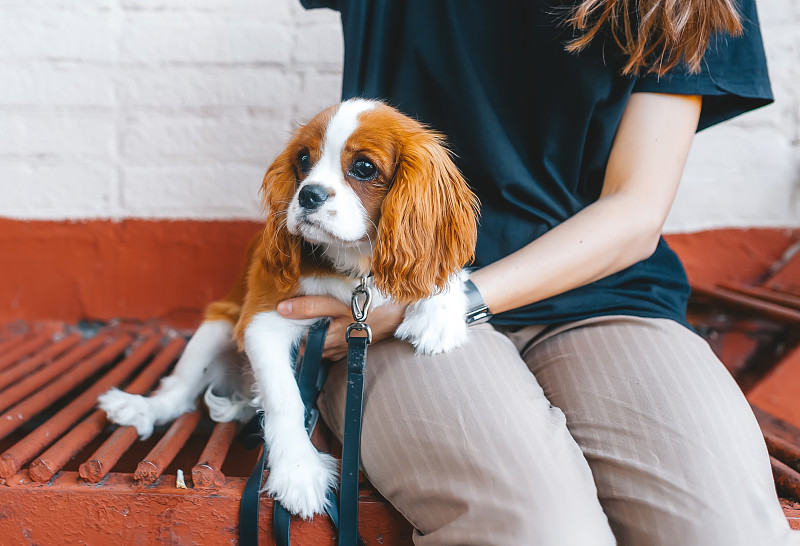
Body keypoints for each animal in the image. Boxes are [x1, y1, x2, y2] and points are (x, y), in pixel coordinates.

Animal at [97, 96, 478, 516]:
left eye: (364, 167)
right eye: (304, 160)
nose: (308, 194)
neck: (354, 263)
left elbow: (442, 267)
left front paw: (439, 315)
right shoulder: (262, 322)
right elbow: (284, 400)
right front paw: (299, 470)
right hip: (215, 328)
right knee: (178, 392)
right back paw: (141, 408)